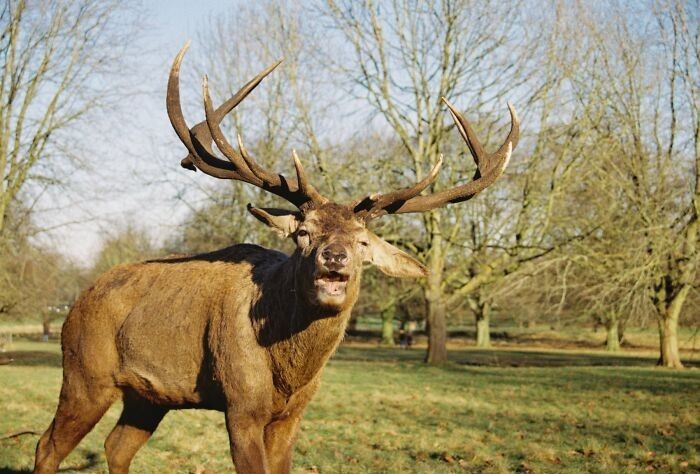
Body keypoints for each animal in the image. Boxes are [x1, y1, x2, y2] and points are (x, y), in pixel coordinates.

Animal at [34, 41, 520, 474]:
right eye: (303, 234)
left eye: (363, 242)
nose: (334, 257)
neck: (289, 370)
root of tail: (76, 302)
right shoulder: (241, 404)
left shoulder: (293, 414)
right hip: (85, 373)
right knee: (47, 445)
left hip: (148, 396)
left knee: (116, 446)